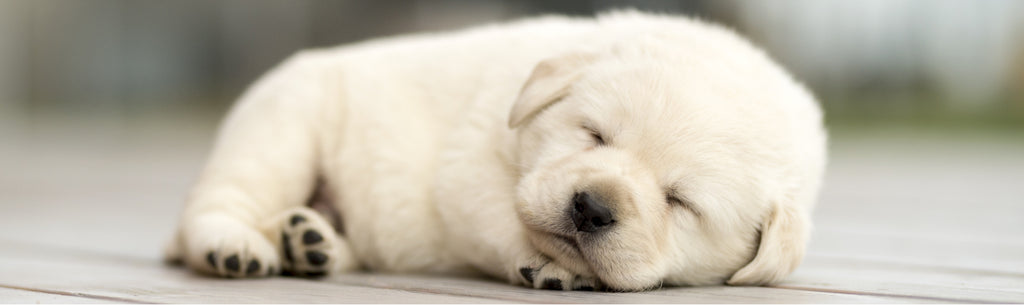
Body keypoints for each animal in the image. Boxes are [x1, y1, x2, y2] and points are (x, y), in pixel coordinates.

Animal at [163, 10, 827, 292]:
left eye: (679, 201)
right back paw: (236, 247)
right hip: (281, 128)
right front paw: (547, 262)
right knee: (218, 204)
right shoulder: (470, 168)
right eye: (594, 135)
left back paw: (309, 241)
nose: (590, 207)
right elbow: (504, 219)